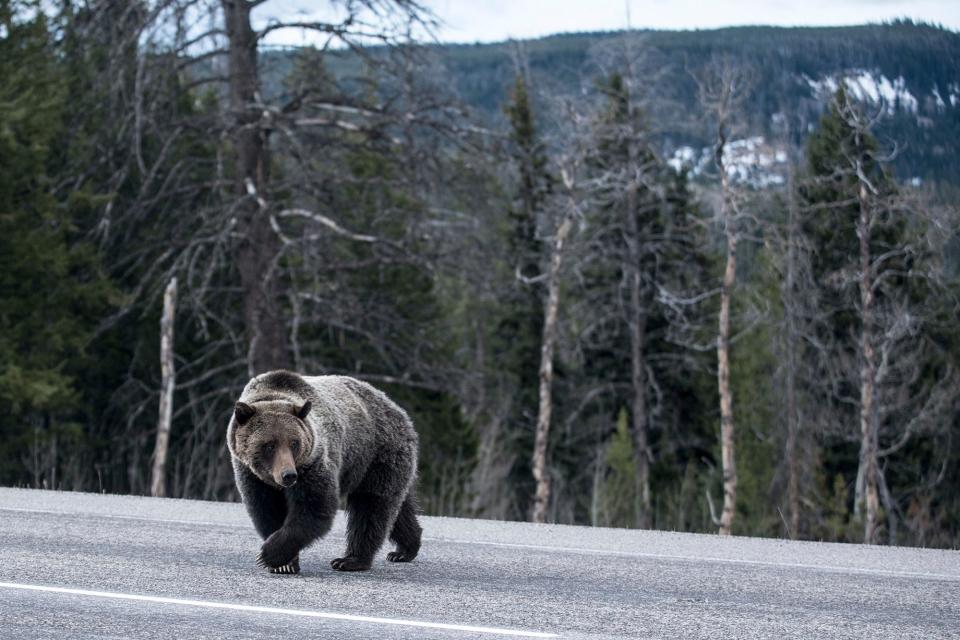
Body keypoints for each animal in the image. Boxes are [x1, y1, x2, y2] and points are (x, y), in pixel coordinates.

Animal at [227, 370, 422, 576]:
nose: (288, 475)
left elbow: (315, 507)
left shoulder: (313, 463)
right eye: (269, 445)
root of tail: (399, 411)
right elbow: (268, 510)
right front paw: (285, 563)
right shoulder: (252, 475)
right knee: (399, 509)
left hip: (377, 455)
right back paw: (405, 550)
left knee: (371, 506)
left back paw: (350, 560)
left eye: (294, 442)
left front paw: (269, 554)